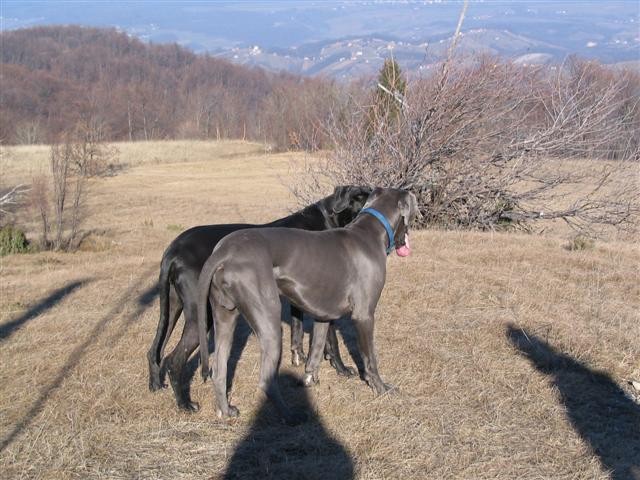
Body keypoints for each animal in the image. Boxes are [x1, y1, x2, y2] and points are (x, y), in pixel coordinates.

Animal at [146, 186, 370, 410]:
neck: (330, 218)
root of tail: (173, 250)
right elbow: (332, 338)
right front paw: (341, 368)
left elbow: (297, 331)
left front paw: (299, 359)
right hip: (201, 314)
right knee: (173, 360)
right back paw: (185, 404)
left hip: (172, 307)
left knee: (155, 350)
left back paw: (156, 384)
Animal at [196, 188, 416, 424]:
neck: (370, 231)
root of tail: (224, 251)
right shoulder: (364, 315)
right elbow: (370, 359)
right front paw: (381, 388)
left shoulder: (323, 316)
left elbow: (316, 351)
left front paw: (309, 380)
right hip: (269, 322)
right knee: (265, 380)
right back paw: (291, 416)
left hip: (225, 316)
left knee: (219, 369)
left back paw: (226, 410)